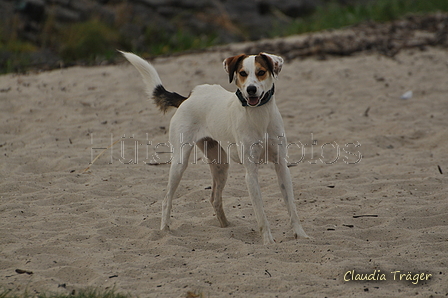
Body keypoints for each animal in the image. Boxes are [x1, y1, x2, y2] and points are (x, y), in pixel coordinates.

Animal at [120, 50, 308, 243]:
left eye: (261, 72)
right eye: (243, 73)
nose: (251, 89)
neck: (259, 116)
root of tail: (189, 97)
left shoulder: (281, 166)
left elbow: (292, 207)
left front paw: (301, 235)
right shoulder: (251, 173)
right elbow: (261, 213)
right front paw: (268, 241)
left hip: (221, 166)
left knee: (215, 199)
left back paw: (226, 226)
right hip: (180, 163)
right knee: (167, 199)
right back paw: (165, 230)